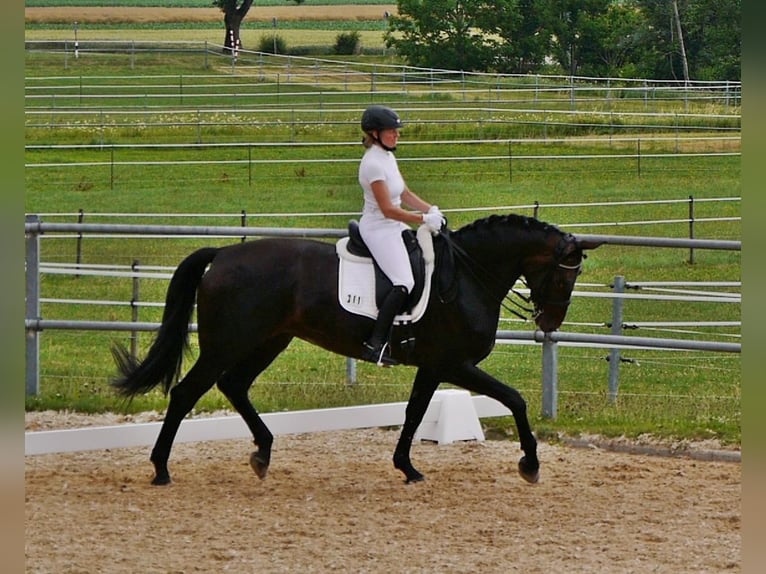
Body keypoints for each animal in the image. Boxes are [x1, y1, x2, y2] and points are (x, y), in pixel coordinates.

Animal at [111, 215, 604, 486]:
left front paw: (407, 467)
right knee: (186, 393)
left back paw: (263, 453)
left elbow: (414, 412)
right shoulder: (454, 364)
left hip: (270, 340)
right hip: (228, 343)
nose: (550, 323)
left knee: (234, 385)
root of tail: (225, 254)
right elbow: (515, 400)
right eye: (565, 275)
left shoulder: (433, 366)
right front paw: (530, 464)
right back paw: (161, 469)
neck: (466, 275)